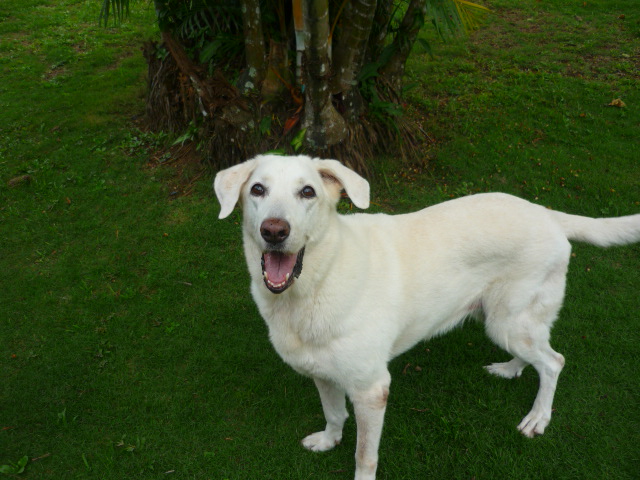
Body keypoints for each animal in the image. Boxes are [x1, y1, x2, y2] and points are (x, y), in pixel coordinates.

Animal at [215, 155, 640, 480]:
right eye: (257, 190)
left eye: (308, 192)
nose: (274, 231)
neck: (314, 285)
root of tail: (546, 212)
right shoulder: (323, 373)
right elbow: (334, 413)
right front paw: (328, 439)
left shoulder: (372, 390)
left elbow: (364, 455)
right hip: (508, 323)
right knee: (536, 354)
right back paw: (510, 369)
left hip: (508, 321)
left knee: (553, 362)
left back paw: (539, 417)